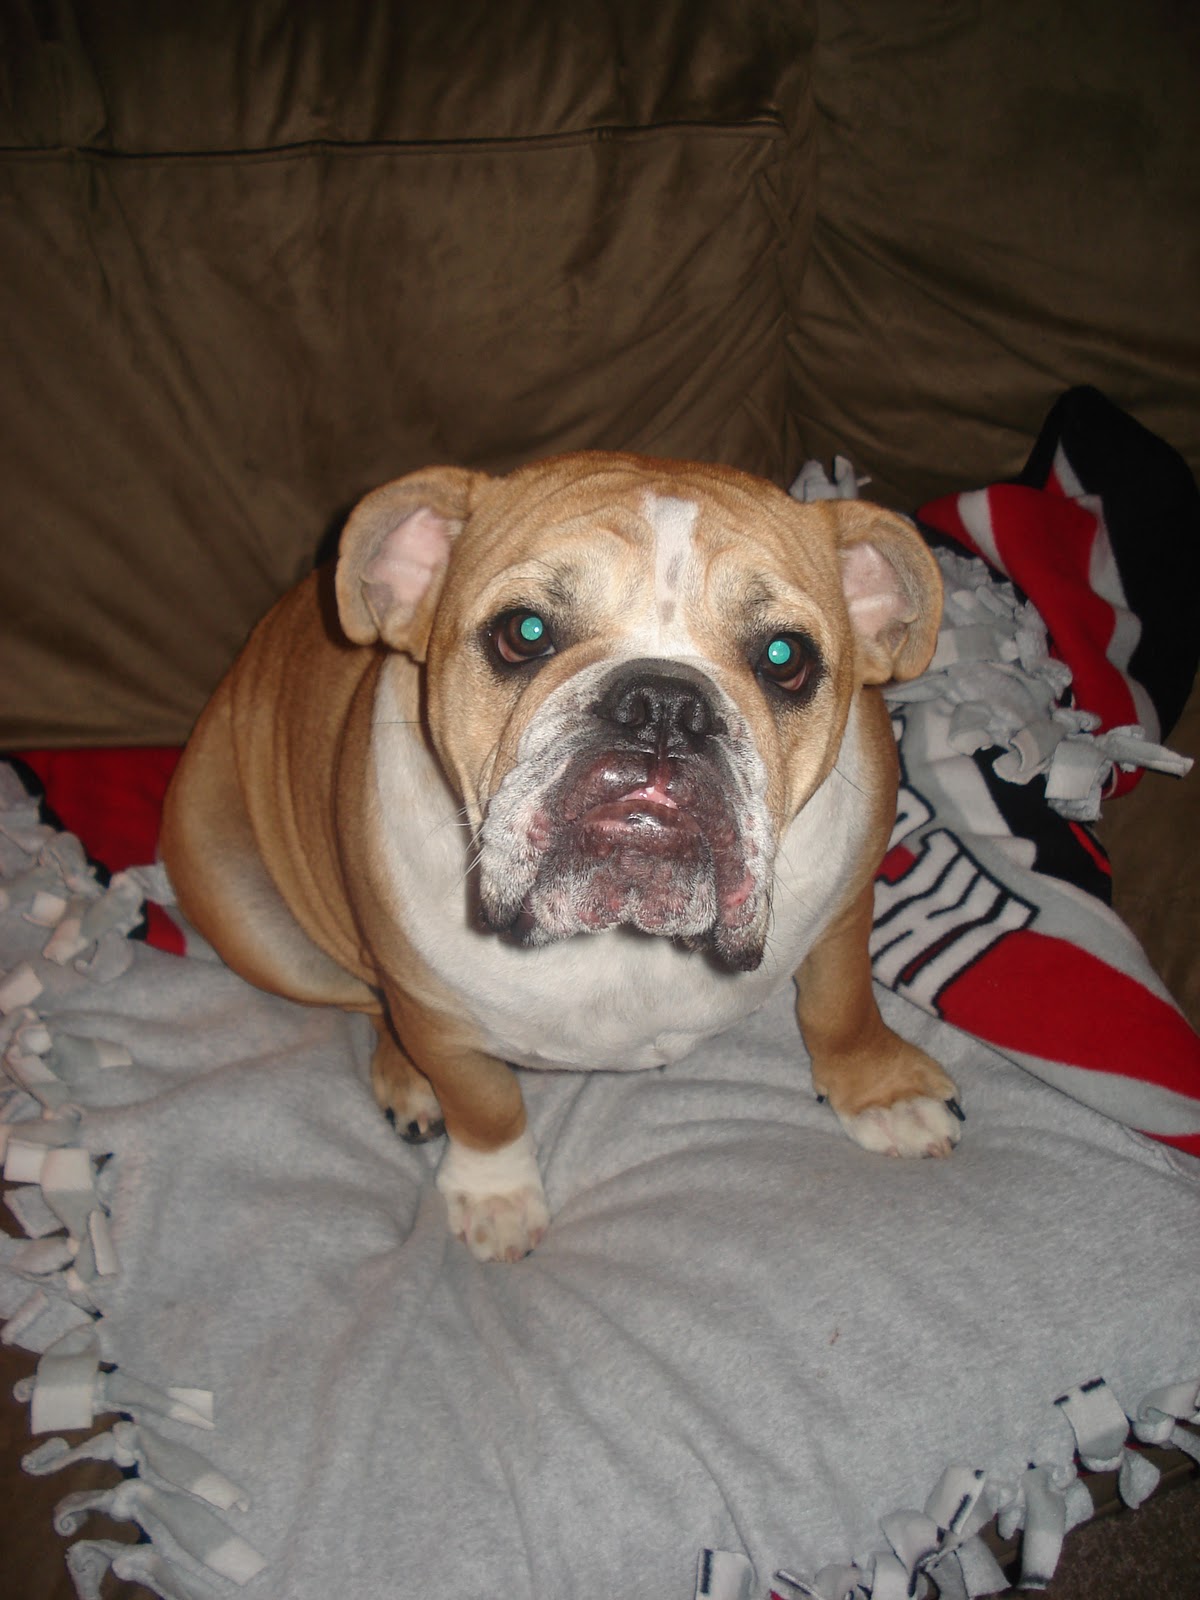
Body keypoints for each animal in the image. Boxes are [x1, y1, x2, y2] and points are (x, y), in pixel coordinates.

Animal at [161, 453, 961, 1262]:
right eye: (524, 631)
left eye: (784, 657)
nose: (664, 705)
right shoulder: (436, 1016)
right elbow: (484, 1105)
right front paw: (497, 1193)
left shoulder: (846, 910)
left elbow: (842, 1005)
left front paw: (882, 1089)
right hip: (258, 924)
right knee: (363, 998)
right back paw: (406, 1080)